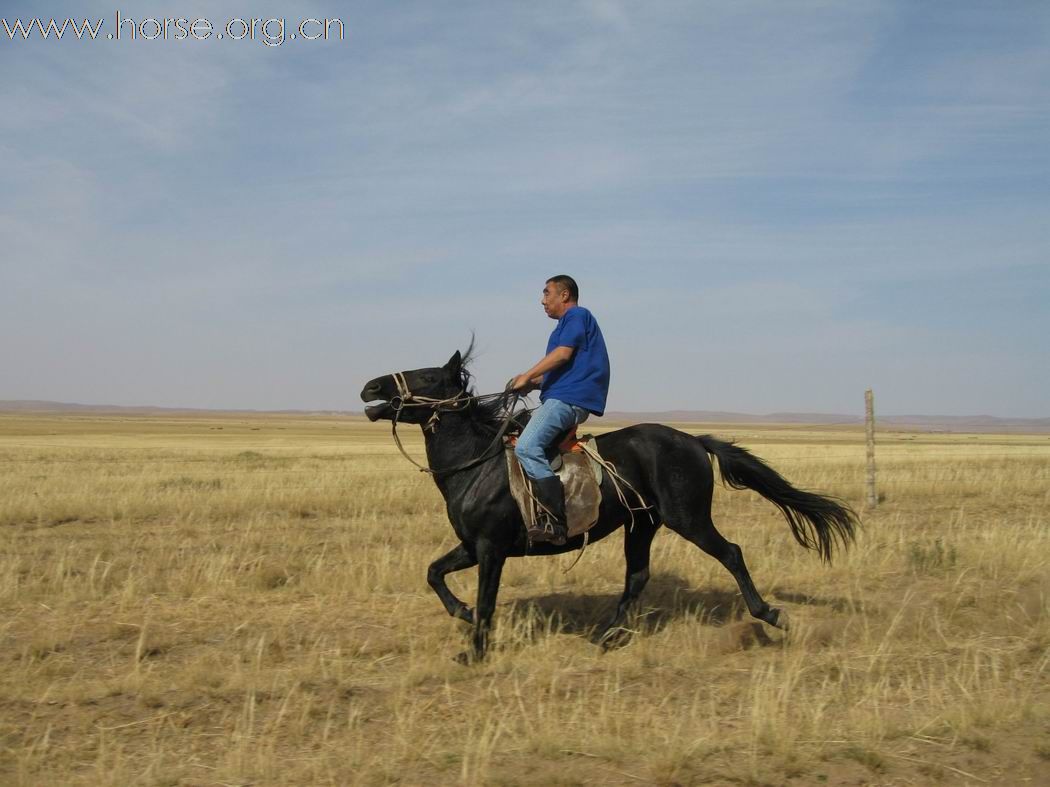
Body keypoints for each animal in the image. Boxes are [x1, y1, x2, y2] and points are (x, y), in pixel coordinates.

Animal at [356, 348, 856, 663]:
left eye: (428, 376)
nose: (370, 387)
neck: (476, 463)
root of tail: (694, 440)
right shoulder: (470, 545)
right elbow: (433, 572)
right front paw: (460, 613)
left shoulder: (491, 549)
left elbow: (486, 599)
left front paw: (474, 650)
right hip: (642, 525)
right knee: (637, 577)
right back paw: (608, 636)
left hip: (688, 518)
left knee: (731, 553)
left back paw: (769, 614)